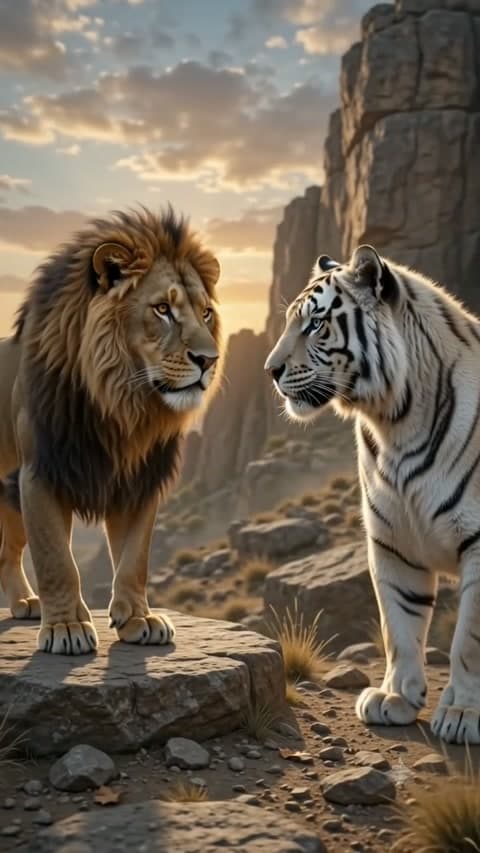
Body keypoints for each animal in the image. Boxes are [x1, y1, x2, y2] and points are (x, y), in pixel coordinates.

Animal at [0, 206, 222, 655]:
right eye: (162, 309)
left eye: (205, 312)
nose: (210, 360)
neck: (121, 405)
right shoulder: (39, 474)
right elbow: (57, 559)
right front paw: (66, 627)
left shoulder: (139, 480)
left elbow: (135, 558)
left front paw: (139, 619)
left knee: (6, 553)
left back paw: (26, 603)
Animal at [265, 243, 480, 744]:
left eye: (315, 324)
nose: (270, 371)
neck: (394, 421)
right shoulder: (392, 539)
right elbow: (397, 624)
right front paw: (395, 698)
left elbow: (467, 640)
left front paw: (462, 713)